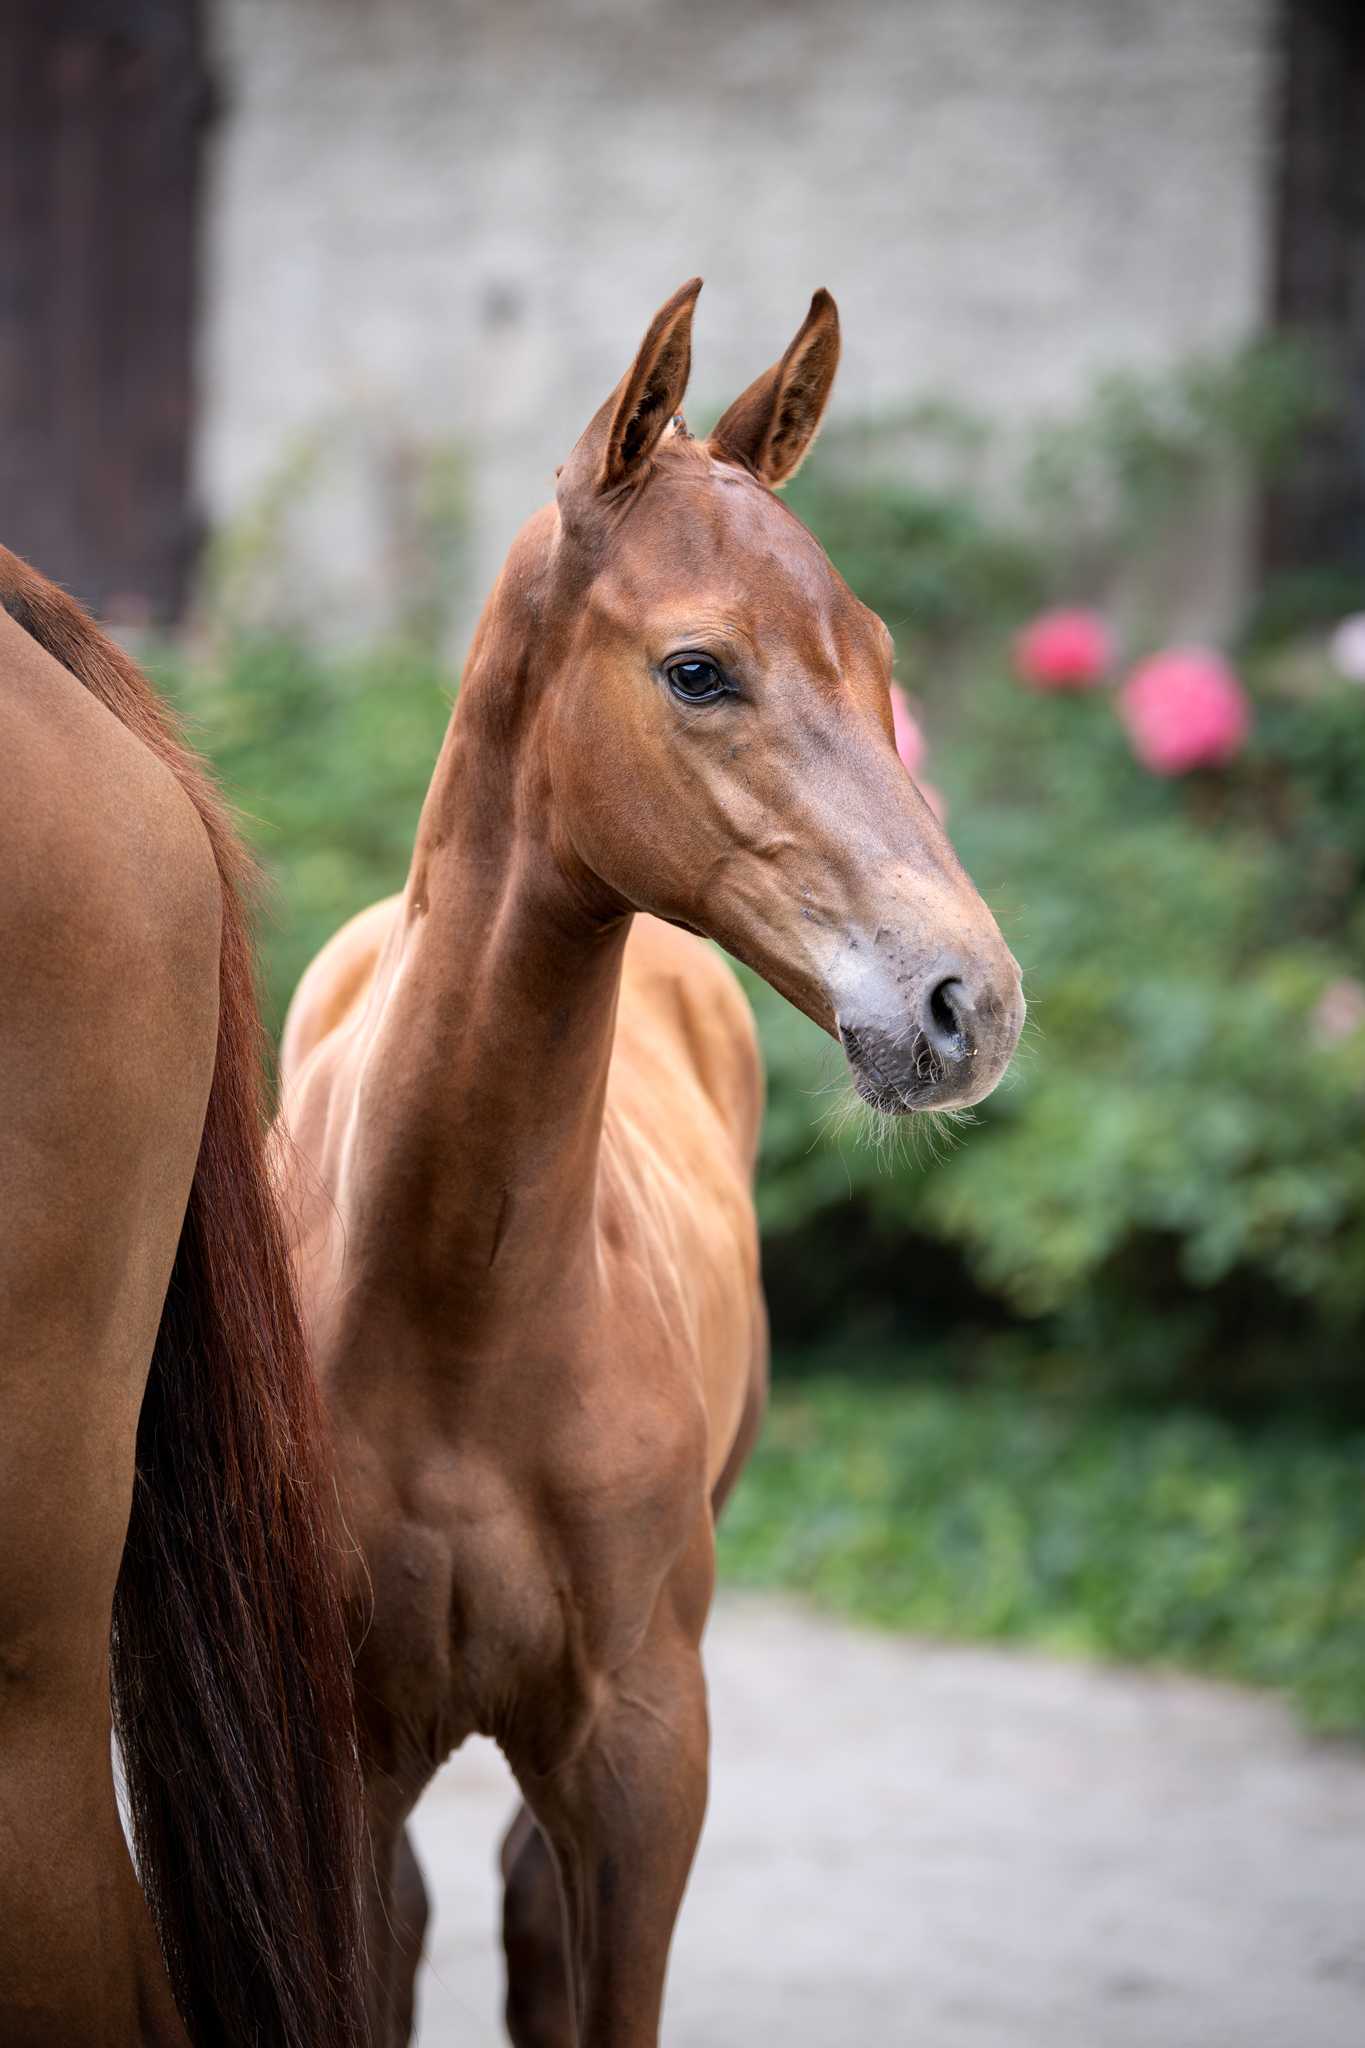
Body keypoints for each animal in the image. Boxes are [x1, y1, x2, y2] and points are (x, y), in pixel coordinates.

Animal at [274, 279, 1025, 2047]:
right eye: (698, 669)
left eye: (878, 659)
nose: (969, 1003)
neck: (458, 1312)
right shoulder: (339, 1749)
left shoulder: (641, 1751)